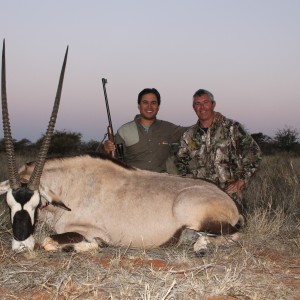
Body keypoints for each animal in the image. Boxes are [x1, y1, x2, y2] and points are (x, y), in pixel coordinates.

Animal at [0, 40, 244, 255]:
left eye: (35, 203)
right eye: (9, 203)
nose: (21, 246)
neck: (69, 186)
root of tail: (230, 202)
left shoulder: (90, 230)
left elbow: (50, 241)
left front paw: (81, 246)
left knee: (232, 236)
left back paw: (201, 248)